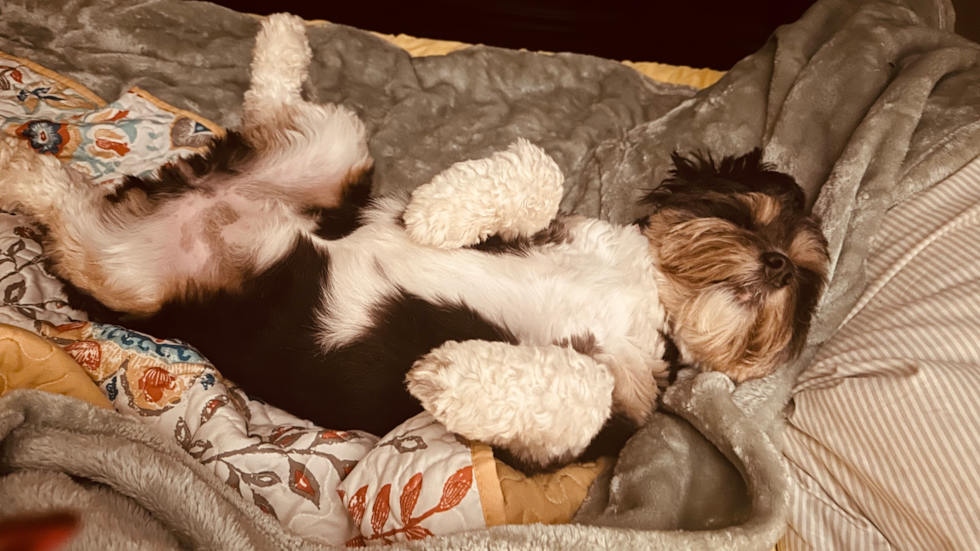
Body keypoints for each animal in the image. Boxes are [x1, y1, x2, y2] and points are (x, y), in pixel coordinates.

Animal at [0, 14, 828, 470]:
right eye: (757, 215)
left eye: (804, 278)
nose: (776, 262)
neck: (648, 294)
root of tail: (201, 192)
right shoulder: (558, 230)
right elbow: (540, 171)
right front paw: (437, 213)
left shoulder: (585, 431)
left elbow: (577, 388)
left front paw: (448, 372)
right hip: (325, 156)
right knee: (273, 107)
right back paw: (281, 35)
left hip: (127, 269)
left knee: (67, 210)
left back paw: (18, 165)